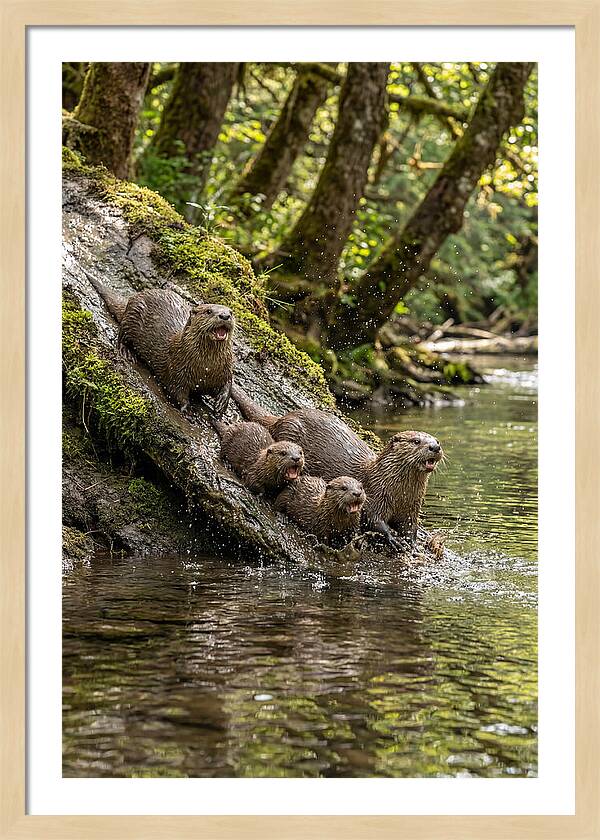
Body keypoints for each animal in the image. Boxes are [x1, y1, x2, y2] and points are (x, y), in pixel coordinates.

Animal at [85, 269, 234, 415]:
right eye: (209, 311)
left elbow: (228, 382)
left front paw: (221, 403)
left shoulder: (224, 369)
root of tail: (134, 297)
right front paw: (187, 409)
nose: (225, 315)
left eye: (231, 312)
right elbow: (176, 391)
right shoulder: (177, 369)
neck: (206, 368)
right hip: (132, 316)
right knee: (121, 334)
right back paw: (126, 352)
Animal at [231, 384, 443, 545]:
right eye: (416, 441)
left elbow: (411, 526)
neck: (400, 493)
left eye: (437, 440)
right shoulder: (375, 496)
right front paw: (393, 538)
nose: (434, 446)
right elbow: (374, 520)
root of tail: (282, 418)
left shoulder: (411, 508)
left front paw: (412, 542)